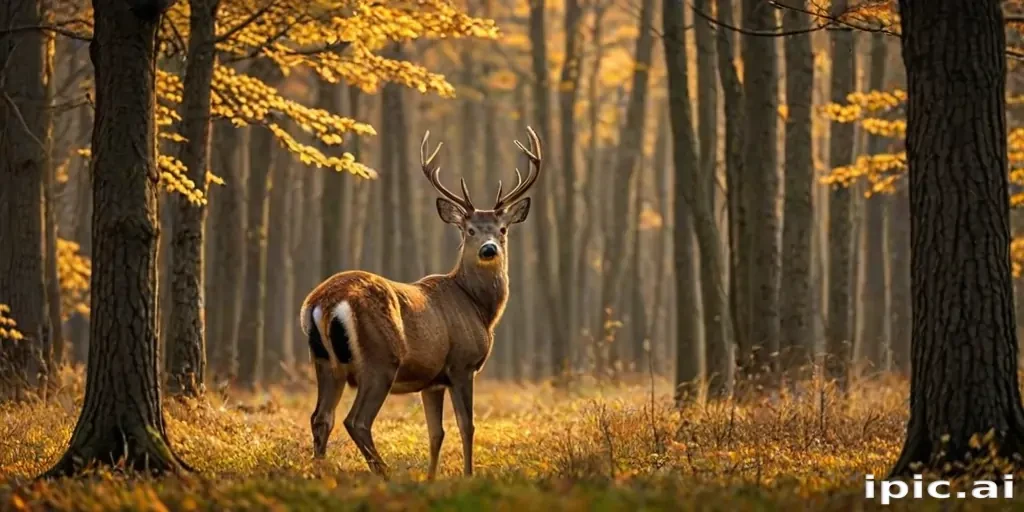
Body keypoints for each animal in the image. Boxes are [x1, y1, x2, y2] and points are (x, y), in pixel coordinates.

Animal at [298, 127, 542, 479]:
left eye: (503, 229)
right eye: (469, 230)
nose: (489, 248)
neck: (479, 308)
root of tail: (325, 302)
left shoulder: (432, 380)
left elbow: (435, 432)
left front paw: (431, 478)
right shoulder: (462, 364)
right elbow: (467, 426)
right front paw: (468, 476)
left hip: (325, 362)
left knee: (321, 417)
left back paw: (321, 474)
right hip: (379, 360)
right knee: (356, 421)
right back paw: (385, 473)